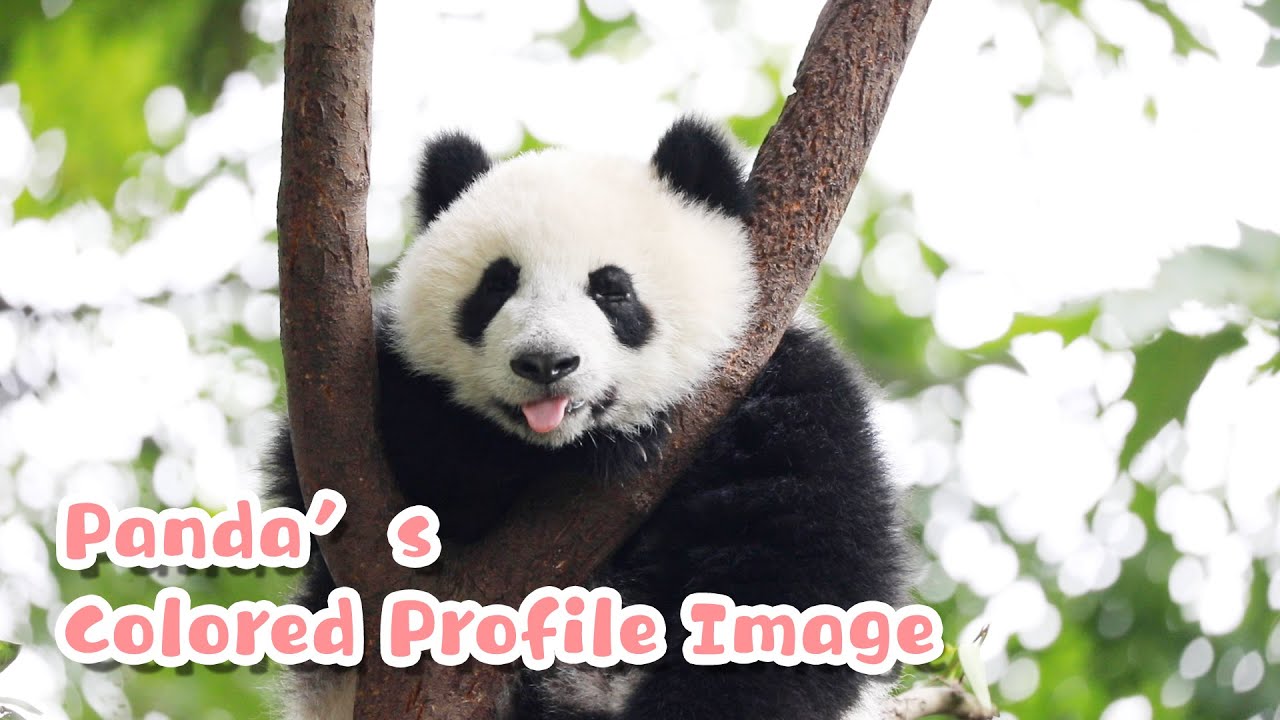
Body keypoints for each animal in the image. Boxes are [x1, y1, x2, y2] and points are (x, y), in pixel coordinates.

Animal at [267, 117, 910, 720]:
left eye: (612, 290)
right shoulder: (367, 398)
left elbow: (803, 575)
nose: (545, 363)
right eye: (496, 285)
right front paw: (607, 450)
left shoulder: (788, 398)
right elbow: (384, 470)